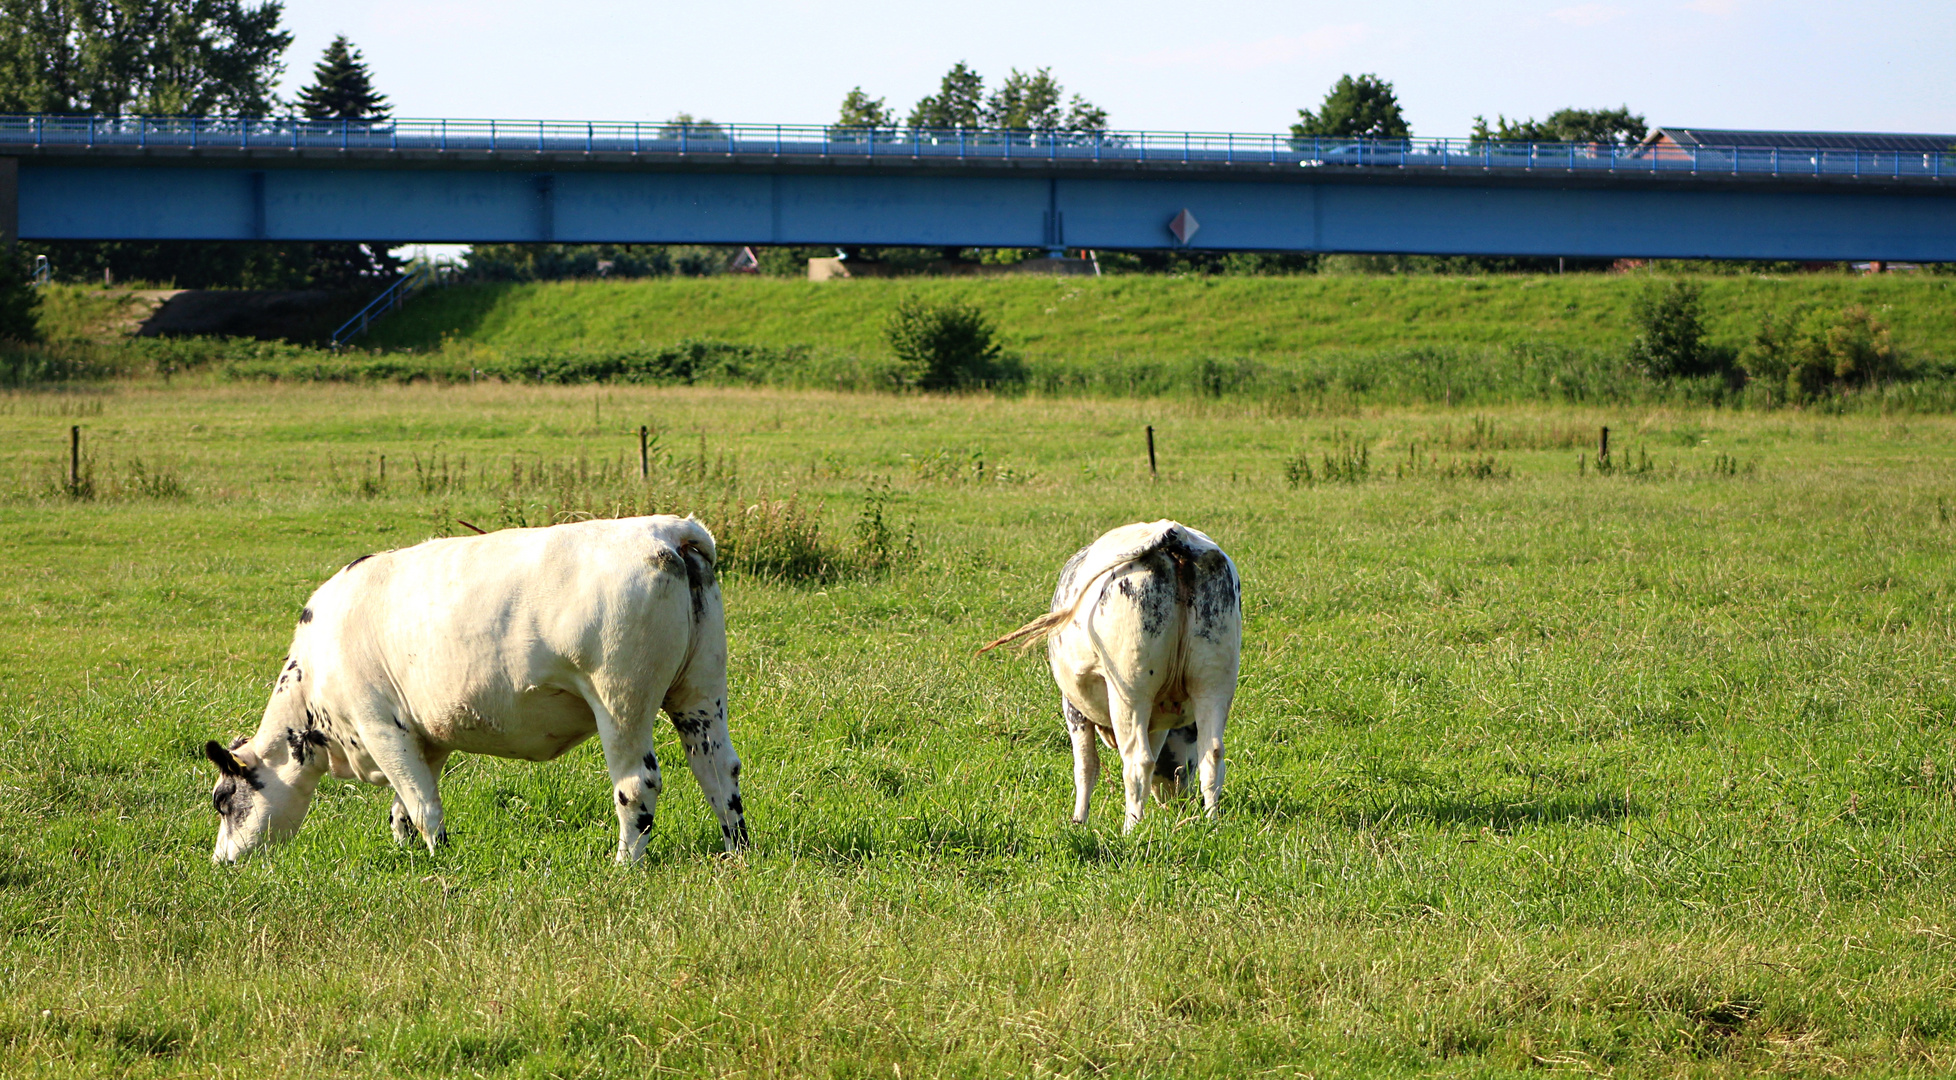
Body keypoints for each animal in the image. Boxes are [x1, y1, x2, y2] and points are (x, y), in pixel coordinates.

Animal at [202, 512, 743, 860]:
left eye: (222, 801)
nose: (221, 861)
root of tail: (665, 529)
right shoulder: (426, 736)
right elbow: (405, 805)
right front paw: (407, 856)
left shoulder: (380, 726)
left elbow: (421, 805)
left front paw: (439, 861)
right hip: (701, 694)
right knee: (719, 770)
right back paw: (736, 850)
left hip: (621, 703)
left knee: (637, 785)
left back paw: (625, 864)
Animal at [985, 520, 1244, 829]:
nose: (1180, 802)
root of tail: (1173, 533)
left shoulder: (1073, 704)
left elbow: (1086, 766)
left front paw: (1078, 821)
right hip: (1214, 681)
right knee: (1212, 754)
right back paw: (1211, 823)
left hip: (1130, 692)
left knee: (1138, 762)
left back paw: (1130, 828)